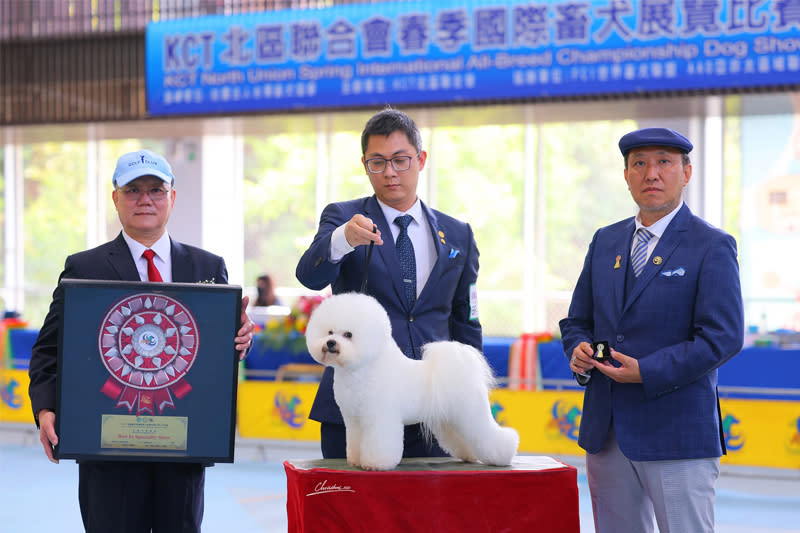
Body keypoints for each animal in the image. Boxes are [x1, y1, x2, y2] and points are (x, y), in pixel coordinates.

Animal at [304, 290, 520, 470]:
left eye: (348, 334)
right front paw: (356, 460)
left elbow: (379, 443)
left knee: (489, 434)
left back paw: (503, 456)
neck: (364, 369)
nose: (330, 343)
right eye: (329, 332)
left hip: (470, 412)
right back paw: (470, 456)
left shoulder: (379, 417)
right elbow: (356, 441)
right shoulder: (354, 420)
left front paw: (375, 464)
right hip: (450, 418)